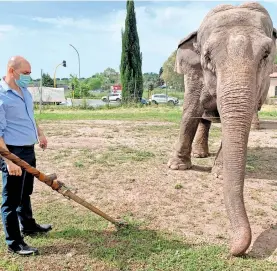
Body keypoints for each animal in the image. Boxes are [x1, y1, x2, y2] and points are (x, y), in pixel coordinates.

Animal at [166, 2, 276, 258]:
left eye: (266, 54)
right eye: (207, 56)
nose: (232, 249)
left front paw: (219, 173)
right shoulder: (194, 72)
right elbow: (190, 108)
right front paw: (178, 167)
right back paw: (199, 155)